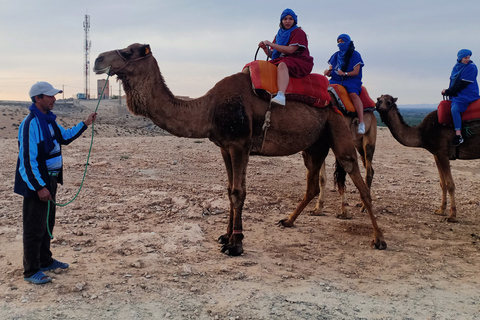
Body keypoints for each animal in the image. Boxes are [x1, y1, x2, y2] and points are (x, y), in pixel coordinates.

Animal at [93, 42, 386, 254]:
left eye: (128, 51)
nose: (97, 59)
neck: (208, 109)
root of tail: (337, 97)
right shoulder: (224, 147)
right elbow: (229, 190)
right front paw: (226, 236)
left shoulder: (240, 145)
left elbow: (238, 192)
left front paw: (236, 244)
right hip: (314, 144)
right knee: (313, 183)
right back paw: (288, 220)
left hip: (339, 130)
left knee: (357, 176)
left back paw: (379, 239)